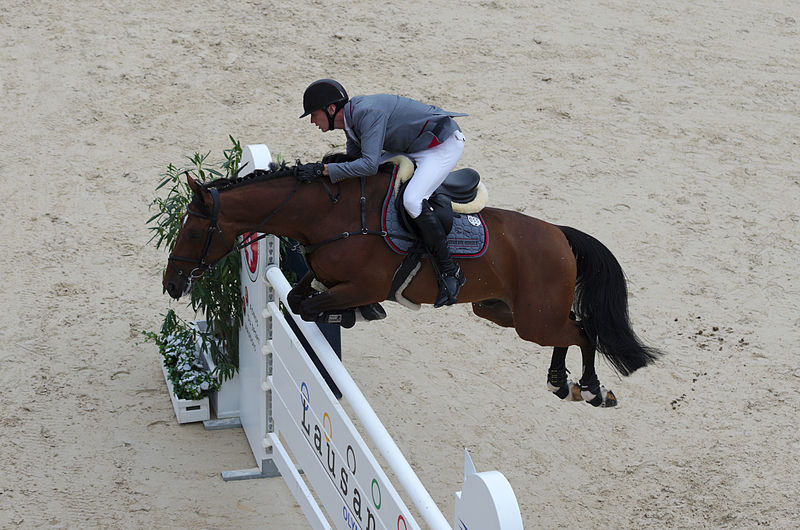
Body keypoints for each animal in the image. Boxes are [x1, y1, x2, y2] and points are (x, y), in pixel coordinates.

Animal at [162, 157, 656, 404]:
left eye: (193, 231)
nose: (172, 284)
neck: (329, 215)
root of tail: (559, 234)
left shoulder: (363, 283)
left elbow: (315, 306)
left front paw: (352, 314)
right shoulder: (319, 276)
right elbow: (303, 301)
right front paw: (350, 315)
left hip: (533, 319)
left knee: (583, 330)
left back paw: (589, 388)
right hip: (505, 313)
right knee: (568, 329)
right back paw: (558, 380)